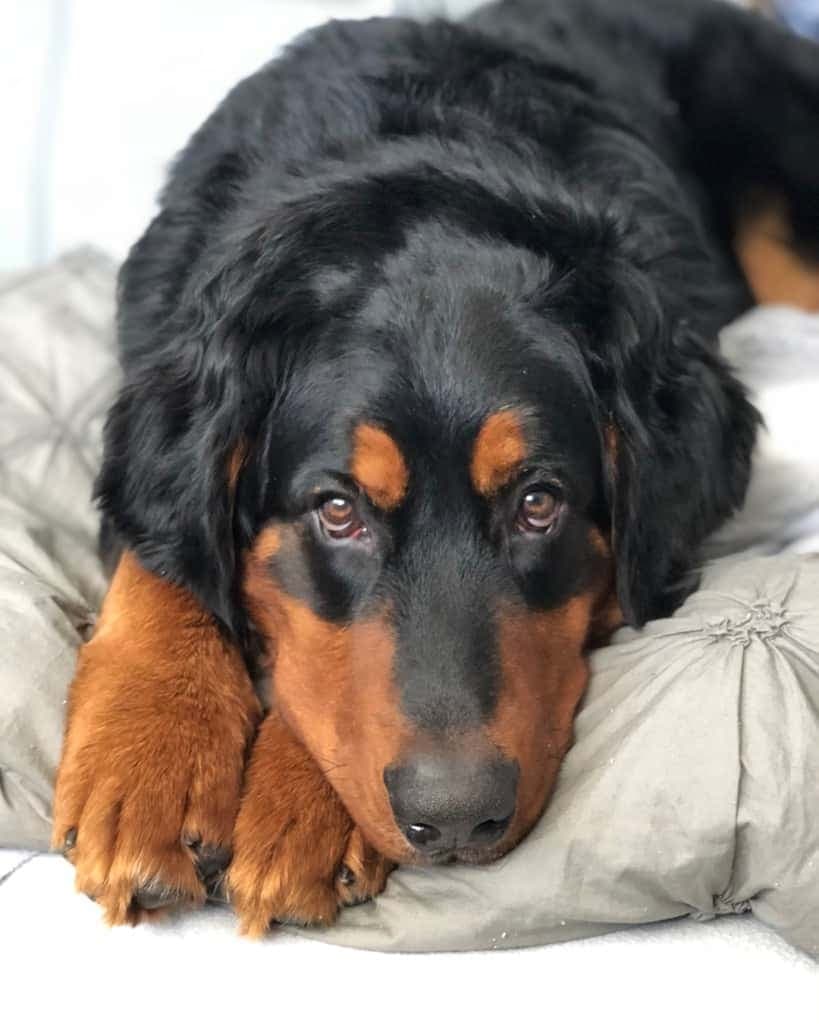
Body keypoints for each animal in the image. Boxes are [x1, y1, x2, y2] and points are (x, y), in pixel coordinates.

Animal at [52, 0, 818, 937]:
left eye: (538, 503)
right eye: (337, 510)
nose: (455, 818)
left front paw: (302, 797)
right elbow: (167, 563)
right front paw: (151, 749)